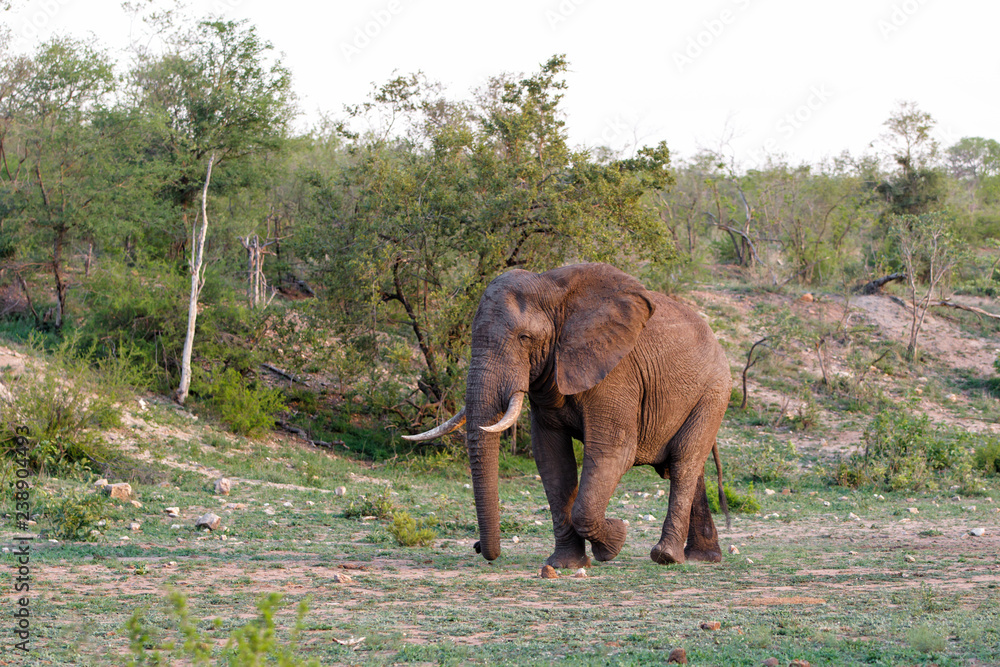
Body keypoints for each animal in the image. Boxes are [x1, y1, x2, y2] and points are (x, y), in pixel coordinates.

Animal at [402, 262, 732, 568]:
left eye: (524, 338)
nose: (477, 547)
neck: (551, 288)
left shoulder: (616, 372)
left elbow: (614, 452)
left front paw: (614, 541)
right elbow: (551, 458)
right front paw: (565, 564)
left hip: (713, 392)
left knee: (684, 462)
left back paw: (666, 557)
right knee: (691, 467)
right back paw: (703, 557)